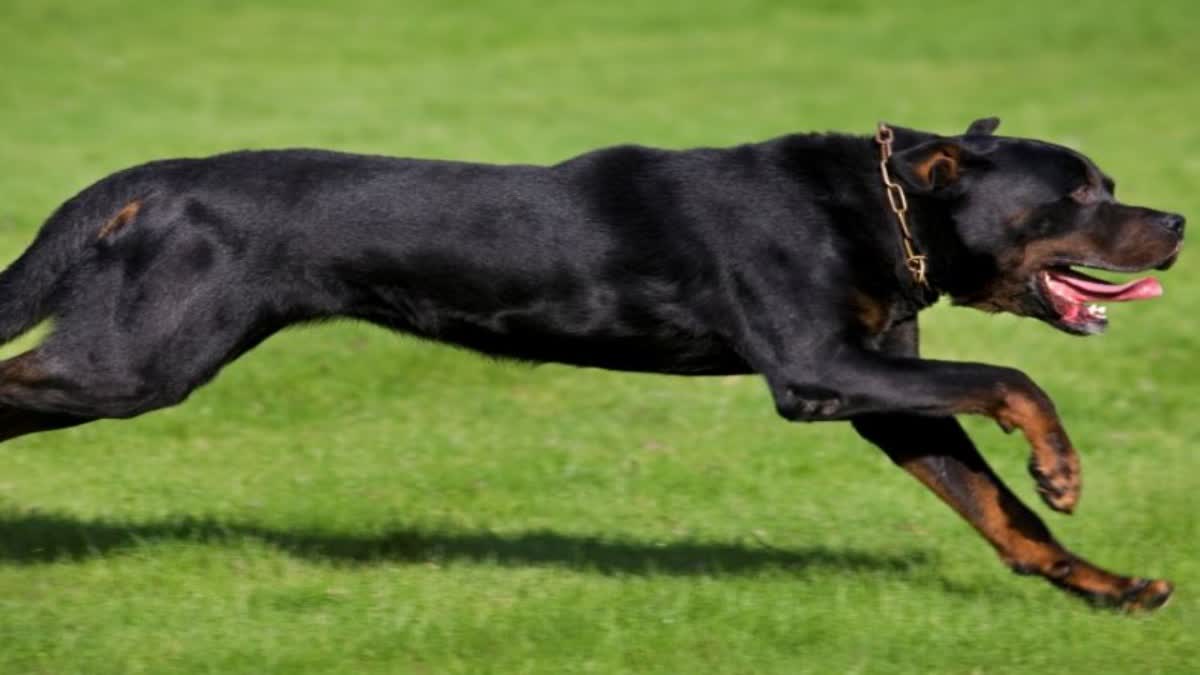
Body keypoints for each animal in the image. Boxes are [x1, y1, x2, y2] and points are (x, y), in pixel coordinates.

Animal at [0, 118, 1180, 607]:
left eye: (1110, 184)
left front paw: (1111, 588)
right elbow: (1018, 382)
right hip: (138, 359)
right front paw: (1061, 465)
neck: (874, 210)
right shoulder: (818, 371)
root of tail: (158, 178)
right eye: (1078, 193)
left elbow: (1003, 518)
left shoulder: (885, 396)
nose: (1175, 220)